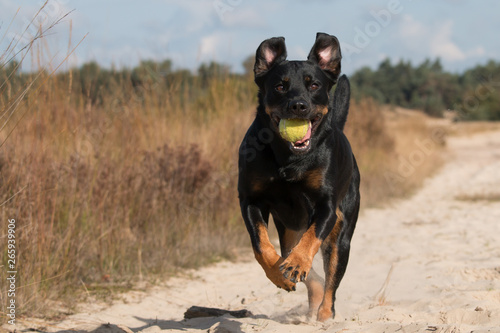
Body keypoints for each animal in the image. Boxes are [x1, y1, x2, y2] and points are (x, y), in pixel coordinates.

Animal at [238, 32, 360, 320]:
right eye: (280, 87)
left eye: (313, 84)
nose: (299, 105)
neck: (288, 158)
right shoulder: (250, 199)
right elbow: (260, 244)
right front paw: (279, 274)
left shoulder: (326, 205)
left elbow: (312, 238)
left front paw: (296, 263)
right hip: (289, 230)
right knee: (310, 275)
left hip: (342, 237)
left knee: (331, 279)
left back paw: (324, 314)